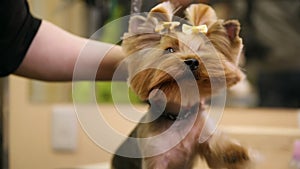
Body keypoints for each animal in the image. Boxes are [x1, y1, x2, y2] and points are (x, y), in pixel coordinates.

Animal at [112, 1, 253, 169]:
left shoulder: (203, 137)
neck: (179, 117)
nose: (191, 61)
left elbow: (215, 150)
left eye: (202, 50)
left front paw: (233, 153)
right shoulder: (155, 156)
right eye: (169, 50)